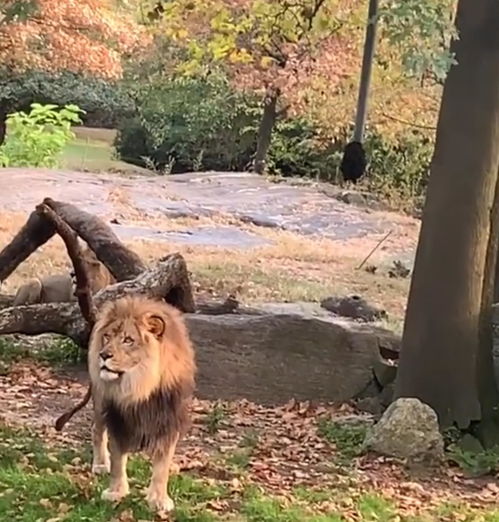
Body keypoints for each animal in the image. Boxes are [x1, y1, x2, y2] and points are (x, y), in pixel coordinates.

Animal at [87, 294, 196, 510]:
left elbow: (162, 466)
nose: (104, 355)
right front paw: (116, 492)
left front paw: (159, 499)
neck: (138, 386)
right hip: (100, 401)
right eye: (107, 336)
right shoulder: (118, 419)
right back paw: (101, 463)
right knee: (97, 431)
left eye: (128, 340)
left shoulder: (169, 420)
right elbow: (118, 461)